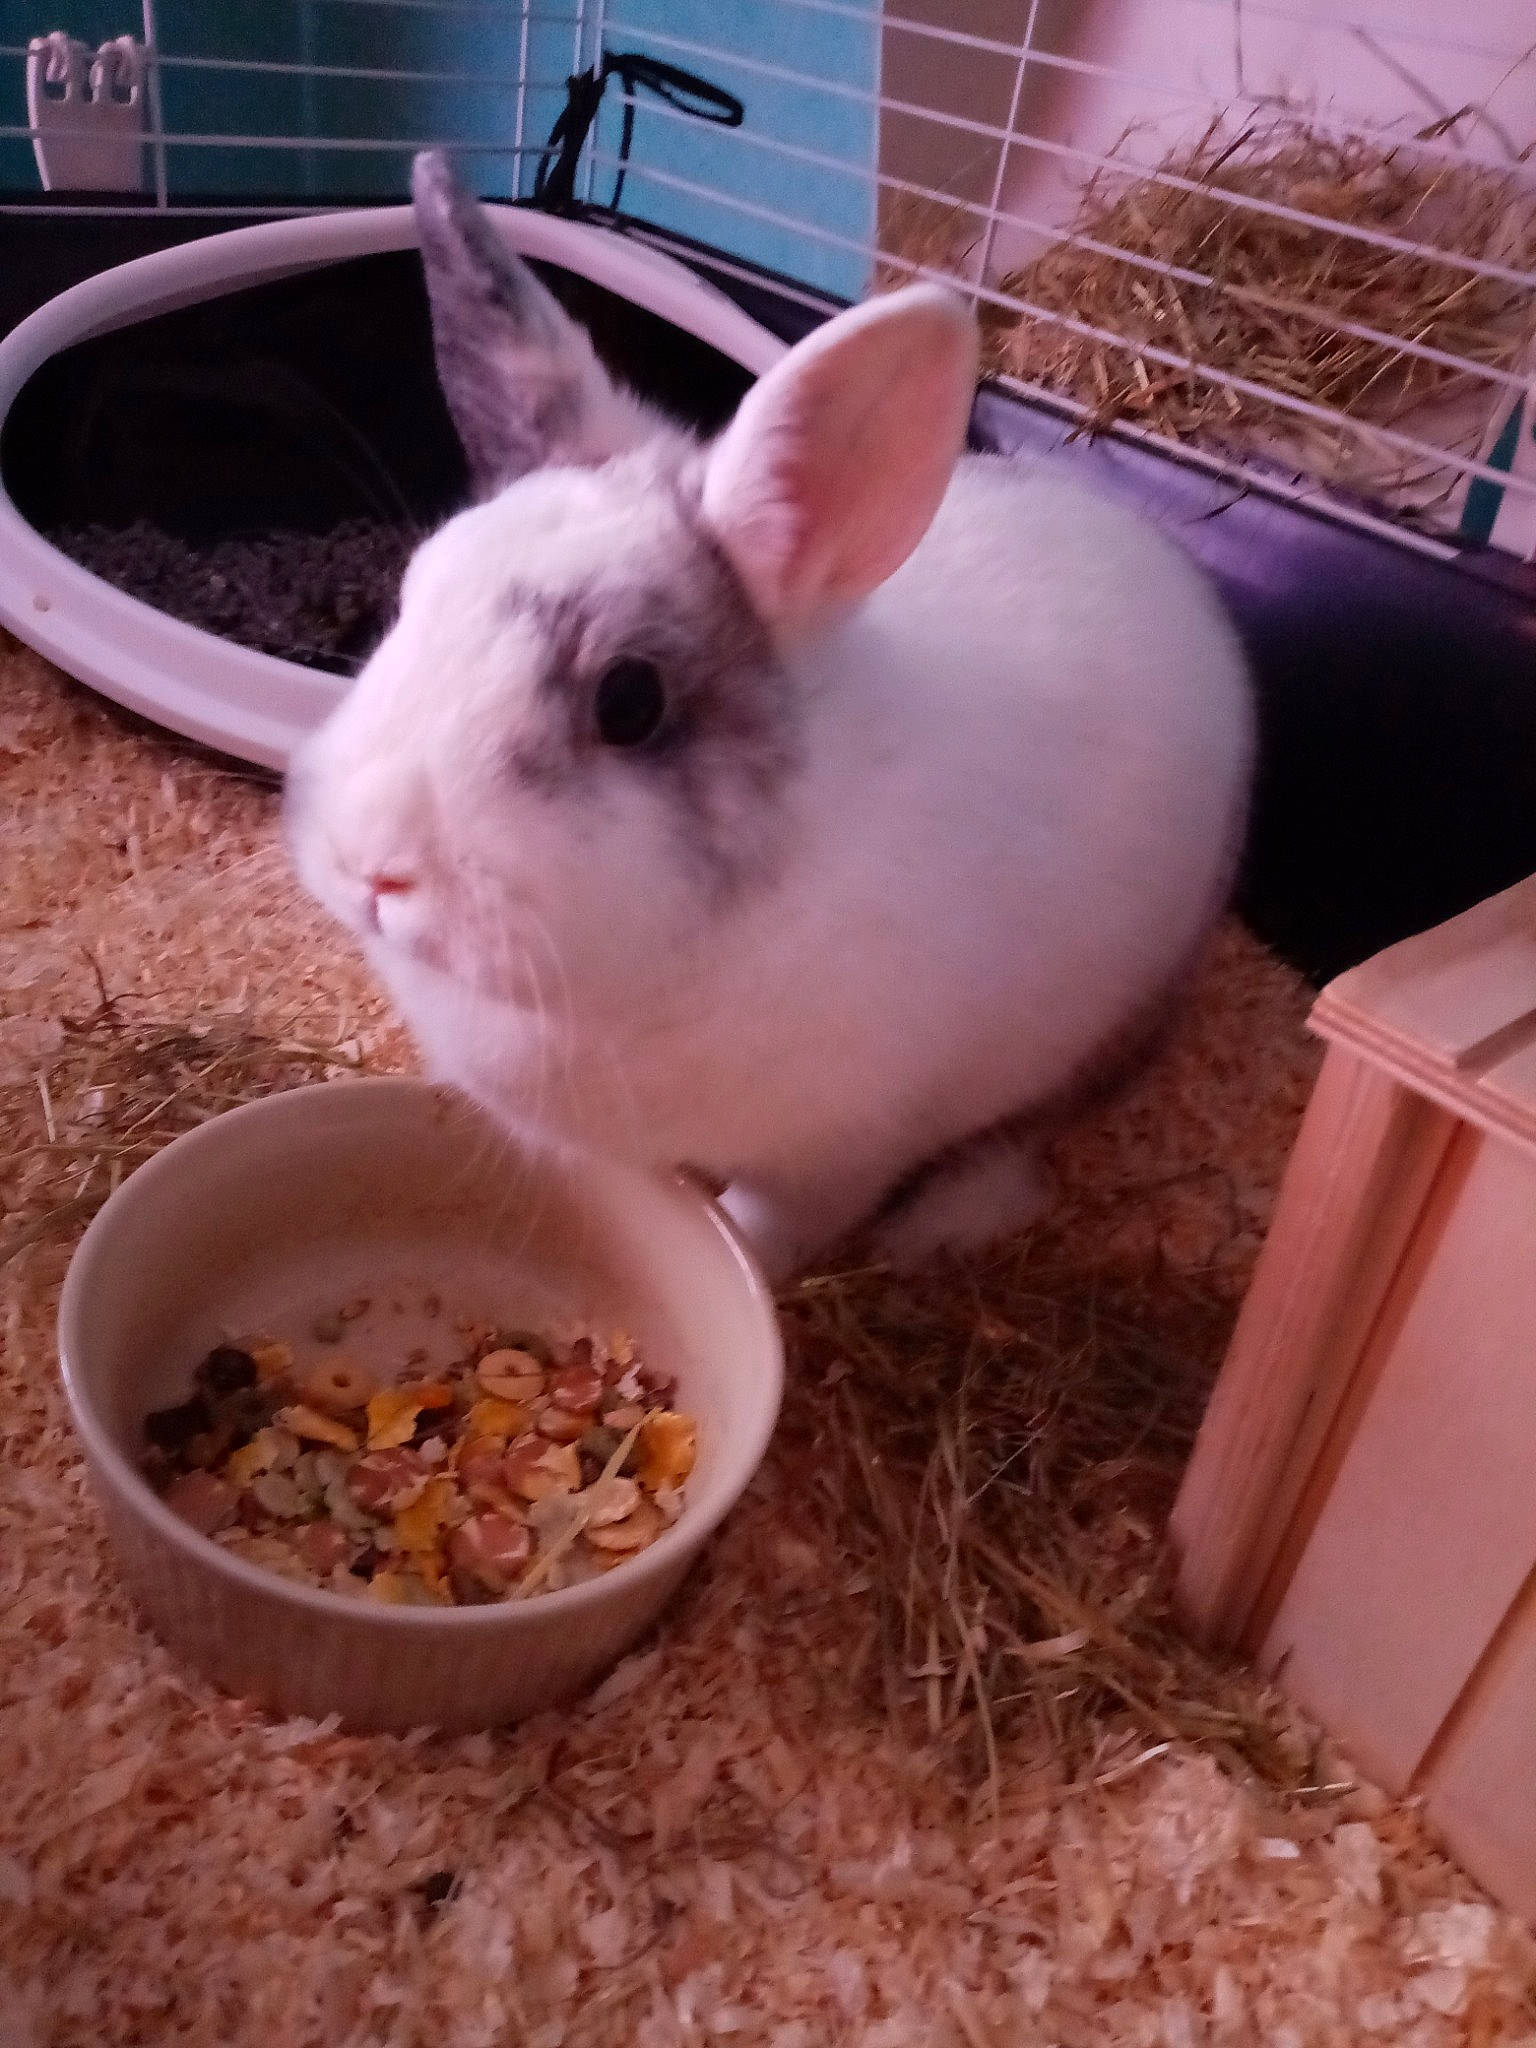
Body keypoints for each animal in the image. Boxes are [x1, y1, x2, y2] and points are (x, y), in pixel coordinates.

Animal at [285, 151, 1255, 1286]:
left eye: (629, 701)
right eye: (410, 595)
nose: (370, 865)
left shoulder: (833, 1156)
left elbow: (761, 1231)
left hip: (1110, 1017)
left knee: (1032, 1134)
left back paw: (944, 1222)